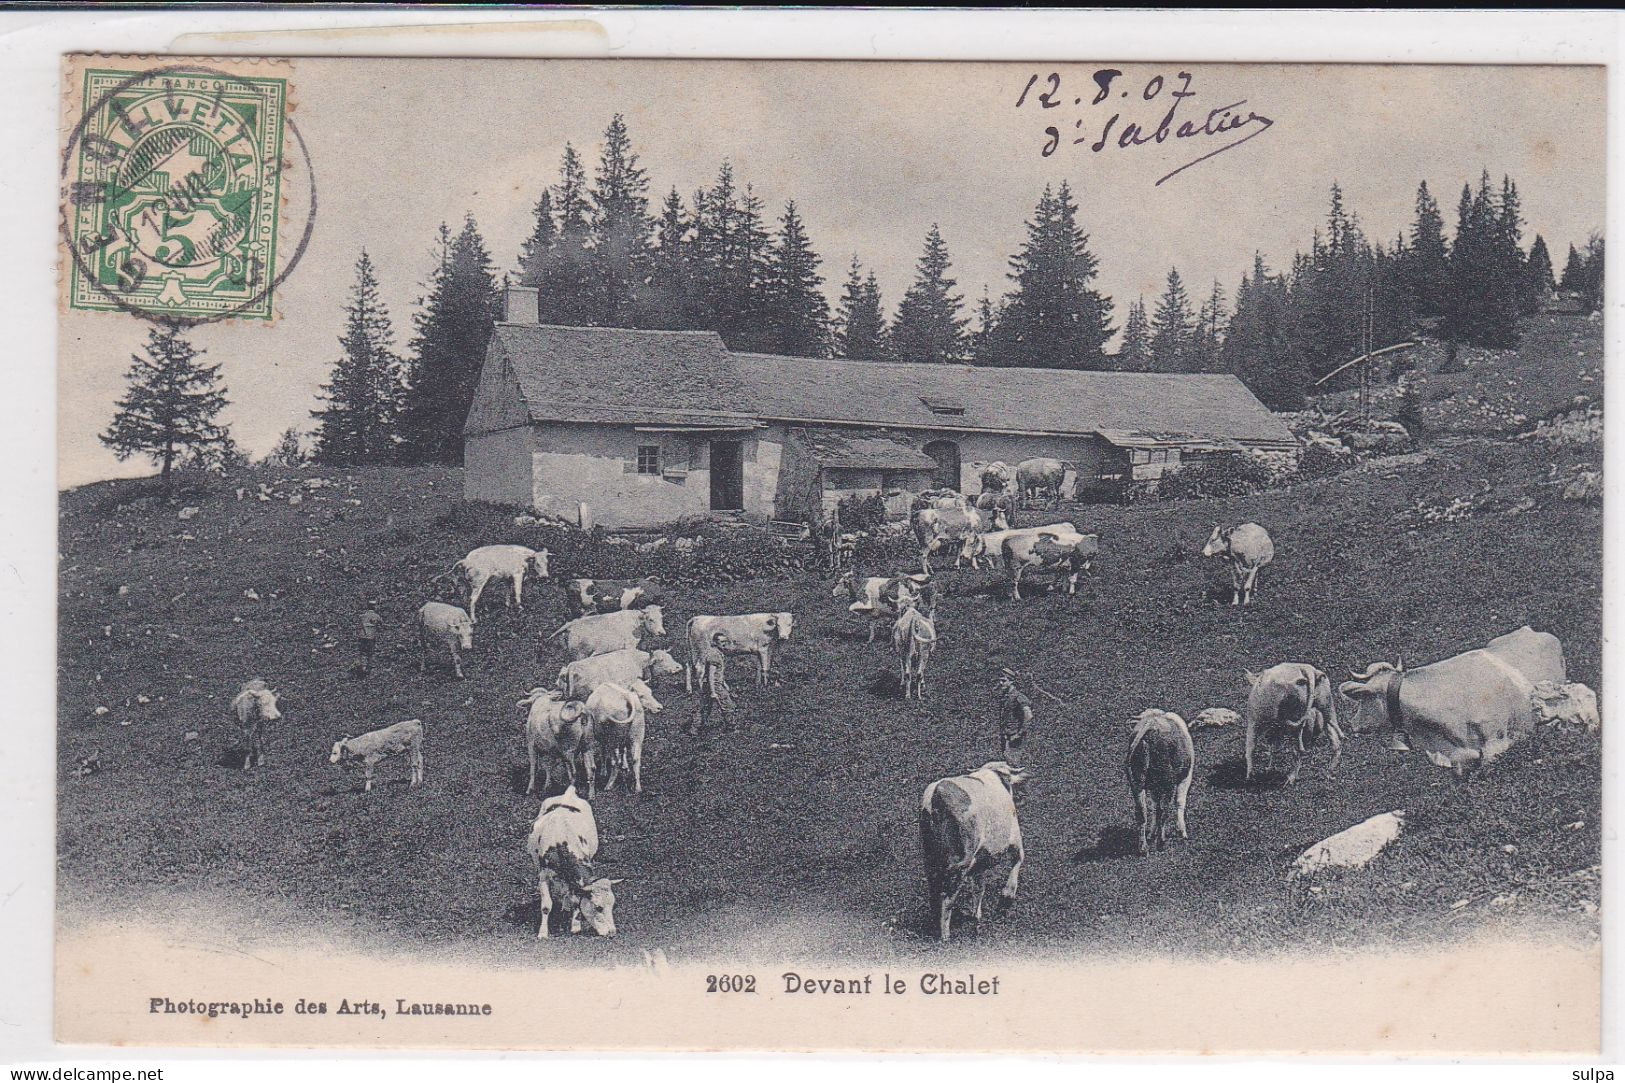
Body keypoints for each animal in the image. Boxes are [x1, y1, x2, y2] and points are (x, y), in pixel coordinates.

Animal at [526, 783, 620, 936]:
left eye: (613, 904)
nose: (612, 932)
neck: (561, 841)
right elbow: (546, 906)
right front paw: (543, 933)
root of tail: (568, 793)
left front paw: (575, 926)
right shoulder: (543, 874)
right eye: (598, 907)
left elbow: (576, 899)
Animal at [916, 754, 1027, 943]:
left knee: (935, 892)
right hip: (961, 861)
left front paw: (977, 916)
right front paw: (1007, 896)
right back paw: (945, 936)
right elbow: (1019, 859)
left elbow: (979, 887)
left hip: (931, 858)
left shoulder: (981, 861)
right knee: (948, 898)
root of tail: (937, 793)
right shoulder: (1014, 838)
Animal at [1124, 708, 1202, 852]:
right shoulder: (1185, 777)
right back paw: (1161, 842)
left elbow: (1155, 807)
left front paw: (1151, 833)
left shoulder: (1154, 788)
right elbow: (1179, 802)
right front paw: (1182, 831)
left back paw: (1143, 847)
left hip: (1136, 782)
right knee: (1165, 810)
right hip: (1168, 784)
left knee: (1142, 812)